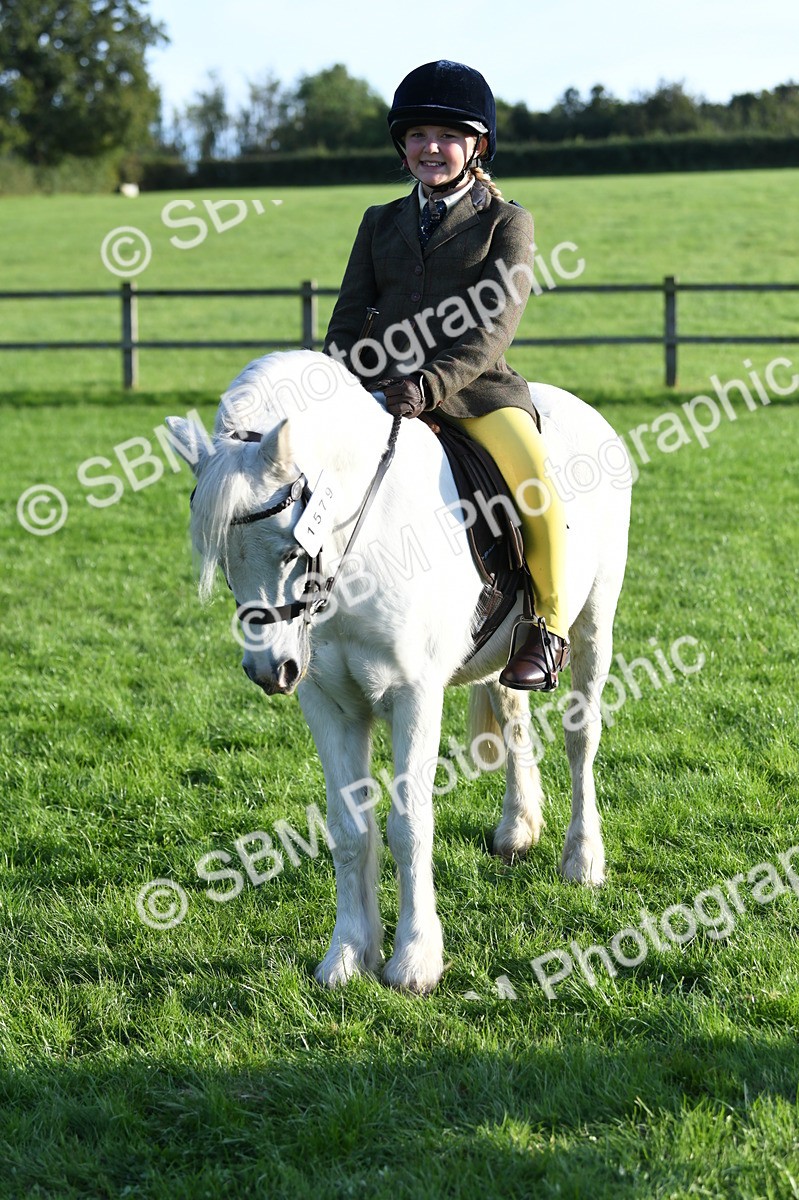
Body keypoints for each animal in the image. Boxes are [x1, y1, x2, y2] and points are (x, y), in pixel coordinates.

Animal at [166, 350, 632, 994]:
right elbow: (348, 828)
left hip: (593, 623)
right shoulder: (328, 704)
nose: (269, 670)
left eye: (291, 550)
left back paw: (583, 859)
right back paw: (518, 829)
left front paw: (415, 961)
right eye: (225, 563)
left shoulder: (414, 697)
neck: (359, 552)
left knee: (580, 737)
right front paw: (348, 955)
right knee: (514, 713)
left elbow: (409, 824)